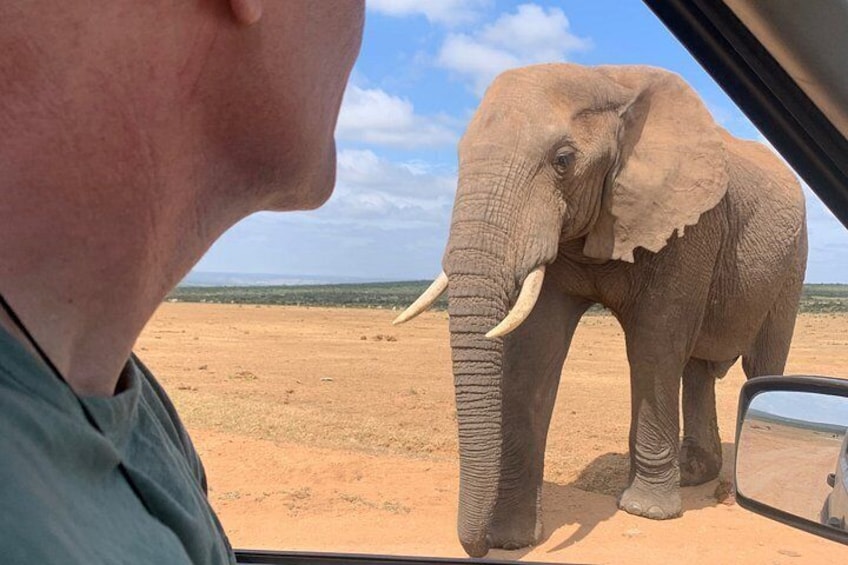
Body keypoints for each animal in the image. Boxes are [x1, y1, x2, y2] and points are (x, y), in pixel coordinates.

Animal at [394, 64, 808, 557]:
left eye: (563, 160)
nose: (477, 547)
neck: (608, 81)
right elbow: (534, 349)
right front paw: (513, 537)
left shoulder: (688, 224)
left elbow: (655, 343)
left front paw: (646, 512)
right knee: (699, 368)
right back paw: (694, 474)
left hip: (792, 263)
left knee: (761, 366)